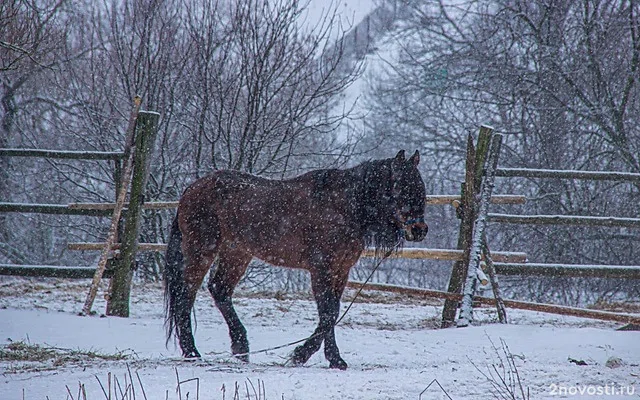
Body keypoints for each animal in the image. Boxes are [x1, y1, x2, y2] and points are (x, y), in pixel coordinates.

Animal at [162, 150, 428, 368]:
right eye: (401, 187)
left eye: (420, 187)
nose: (419, 230)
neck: (343, 206)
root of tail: (192, 189)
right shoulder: (321, 268)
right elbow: (328, 312)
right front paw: (310, 355)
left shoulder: (341, 270)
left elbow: (332, 312)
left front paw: (322, 357)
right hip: (201, 251)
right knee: (186, 295)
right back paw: (192, 352)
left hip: (237, 253)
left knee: (220, 289)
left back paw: (240, 346)